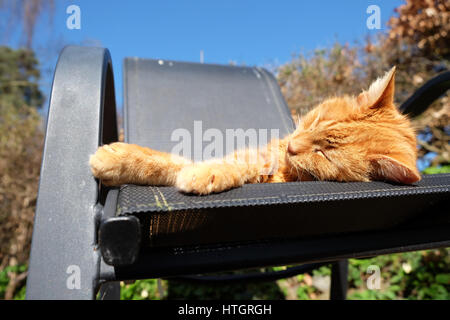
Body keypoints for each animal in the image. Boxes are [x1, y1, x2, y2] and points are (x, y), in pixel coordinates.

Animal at [90, 66, 422, 194]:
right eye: (316, 121)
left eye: (325, 155)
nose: (292, 147)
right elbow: (173, 161)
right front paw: (120, 159)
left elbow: (222, 167)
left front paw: (206, 175)